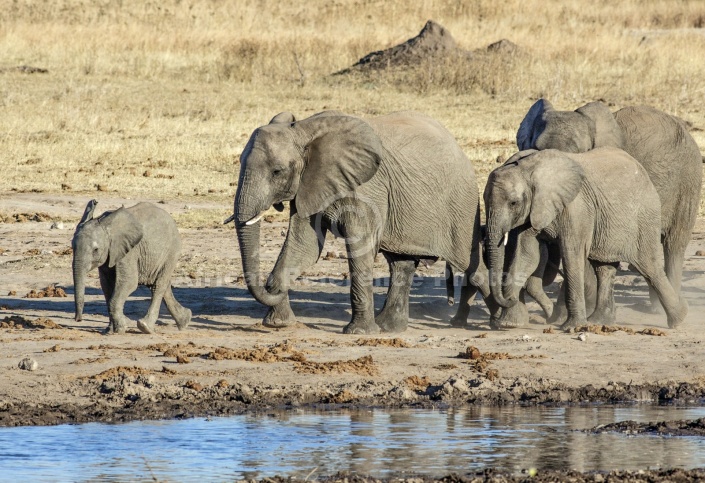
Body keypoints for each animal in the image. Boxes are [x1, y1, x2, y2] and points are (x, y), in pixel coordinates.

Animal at [72, 199, 191, 332]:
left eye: (95, 250)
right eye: (72, 247)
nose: (78, 320)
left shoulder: (129, 251)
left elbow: (129, 282)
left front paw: (120, 329)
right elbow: (106, 286)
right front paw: (110, 330)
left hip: (172, 250)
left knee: (158, 285)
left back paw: (146, 327)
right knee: (161, 284)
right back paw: (185, 321)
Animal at [234, 111, 492, 334]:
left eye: (277, 172)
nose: (270, 288)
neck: (304, 130)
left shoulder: (367, 188)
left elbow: (360, 244)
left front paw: (359, 332)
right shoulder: (310, 184)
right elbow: (303, 246)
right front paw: (278, 324)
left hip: (461, 206)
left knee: (471, 266)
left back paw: (498, 321)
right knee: (401, 264)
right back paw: (388, 328)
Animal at [484, 147, 688, 328]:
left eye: (513, 203)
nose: (509, 298)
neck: (527, 169)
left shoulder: (577, 208)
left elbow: (571, 254)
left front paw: (572, 327)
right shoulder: (533, 211)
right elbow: (526, 255)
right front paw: (509, 324)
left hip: (645, 217)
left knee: (649, 267)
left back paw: (679, 320)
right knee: (604, 268)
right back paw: (599, 321)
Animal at [516, 99, 700, 322]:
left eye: (579, 153)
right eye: (536, 149)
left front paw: (562, 317)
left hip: (688, 182)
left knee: (674, 245)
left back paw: (659, 309)